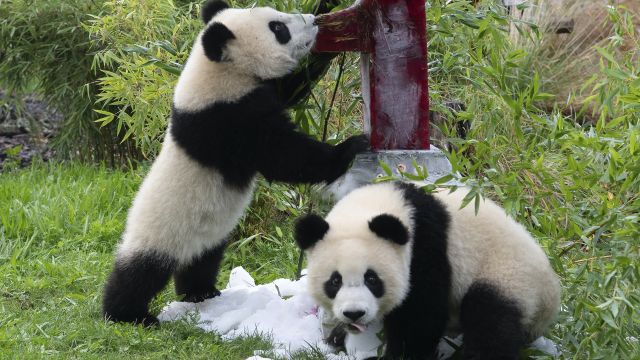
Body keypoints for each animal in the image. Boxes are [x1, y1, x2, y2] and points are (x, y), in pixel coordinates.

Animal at [102, 0, 368, 326]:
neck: (218, 70)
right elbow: (282, 155)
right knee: (139, 274)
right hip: (162, 231)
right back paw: (126, 314)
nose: (312, 21)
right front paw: (349, 148)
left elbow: (292, 89)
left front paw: (330, 25)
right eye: (278, 29)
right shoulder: (224, 119)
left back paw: (200, 292)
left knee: (202, 261)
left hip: (207, 236)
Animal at [296, 183, 560, 360]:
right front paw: (340, 335)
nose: (354, 313)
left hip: (508, 277)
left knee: (490, 324)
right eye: (335, 281)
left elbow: (422, 316)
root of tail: (551, 295)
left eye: (372, 279)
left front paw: (404, 354)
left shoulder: (426, 249)